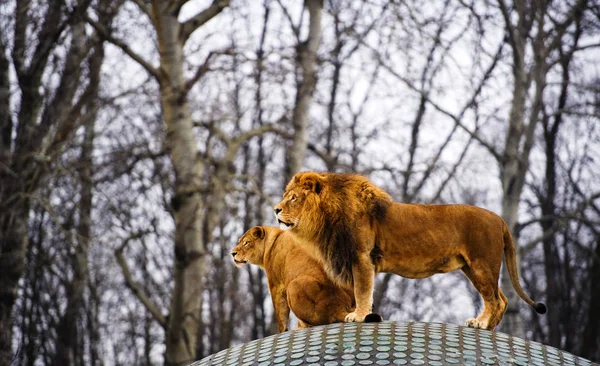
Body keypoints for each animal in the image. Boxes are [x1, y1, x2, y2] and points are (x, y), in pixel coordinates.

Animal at [274, 172, 548, 332]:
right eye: (286, 196)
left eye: (293, 198)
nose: (276, 210)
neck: (328, 216)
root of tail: (499, 219)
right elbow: (357, 292)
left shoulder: (362, 258)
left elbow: (362, 291)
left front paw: (359, 316)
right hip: (473, 267)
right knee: (501, 299)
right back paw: (488, 327)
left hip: (482, 264)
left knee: (495, 299)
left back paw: (480, 323)